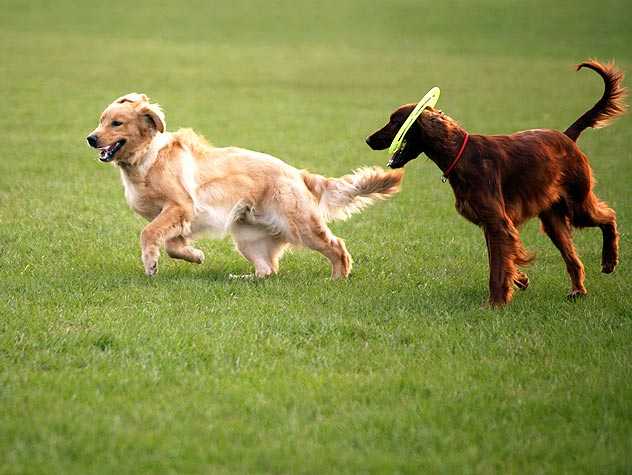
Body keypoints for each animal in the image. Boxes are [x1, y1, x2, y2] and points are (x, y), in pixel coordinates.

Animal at [86, 93, 402, 278]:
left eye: (116, 123)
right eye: (100, 120)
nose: (90, 138)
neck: (146, 158)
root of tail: (297, 173)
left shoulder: (180, 205)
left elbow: (148, 233)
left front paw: (151, 263)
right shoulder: (179, 216)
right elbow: (173, 244)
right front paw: (195, 255)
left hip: (300, 225)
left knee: (337, 246)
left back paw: (337, 277)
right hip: (248, 237)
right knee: (268, 269)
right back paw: (245, 278)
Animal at [368, 59, 624, 306]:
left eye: (395, 122)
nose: (368, 139)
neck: (461, 155)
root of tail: (567, 137)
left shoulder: (497, 223)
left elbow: (498, 268)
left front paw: (495, 303)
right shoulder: (490, 224)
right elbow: (502, 258)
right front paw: (519, 279)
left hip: (577, 203)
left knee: (609, 216)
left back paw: (609, 260)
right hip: (553, 220)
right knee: (573, 258)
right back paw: (578, 290)